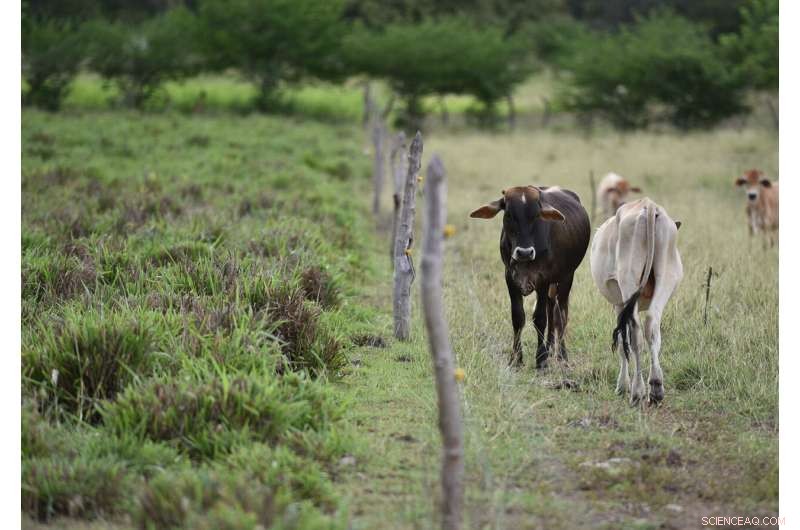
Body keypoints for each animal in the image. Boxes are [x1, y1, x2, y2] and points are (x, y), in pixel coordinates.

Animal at [470, 185, 590, 368]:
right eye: (509, 214)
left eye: (536, 215)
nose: (524, 252)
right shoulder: (510, 278)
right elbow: (518, 317)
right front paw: (516, 359)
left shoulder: (543, 279)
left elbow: (539, 318)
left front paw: (541, 360)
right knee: (552, 311)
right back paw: (550, 348)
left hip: (566, 277)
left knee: (561, 314)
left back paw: (561, 355)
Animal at [590, 198, 683, 405]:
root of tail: (648, 205)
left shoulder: (618, 305)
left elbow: (622, 343)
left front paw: (622, 385)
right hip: (667, 278)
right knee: (652, 326)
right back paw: (655, 386)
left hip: (628, 282)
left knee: (635, 335)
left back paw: (637, 390)